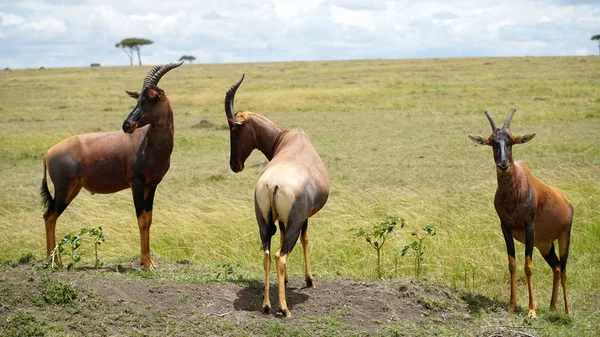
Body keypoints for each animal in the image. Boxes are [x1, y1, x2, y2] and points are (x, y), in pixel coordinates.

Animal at [39, 61, 183, 270]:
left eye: (150, 98)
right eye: (138, 99)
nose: (127, 125)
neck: (147, 142)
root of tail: (48, 153)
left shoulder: (151, 185)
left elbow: (148, 219)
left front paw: (150, 261)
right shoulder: (136, 183)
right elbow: (141, 219)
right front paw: (146, 263)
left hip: (73, 189)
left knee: (50, 216)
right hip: (64, 190)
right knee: (49, 216)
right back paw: (55, 263)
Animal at [225, 75, 330, 316]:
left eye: (234, 129)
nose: (235, 164)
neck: (290, 138)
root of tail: (272, 184)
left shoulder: (280, 220)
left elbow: (280, 238)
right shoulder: (302, 218)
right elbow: (305, 240)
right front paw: (309, 280)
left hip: (262, 221)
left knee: (266, 253)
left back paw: (266, 305)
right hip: (294, 222)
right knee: (280, 255)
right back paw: (284, 308)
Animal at [468, 107, 572, 318]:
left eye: (510, 141)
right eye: (492, 142)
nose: (503, 165)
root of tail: (567, 202)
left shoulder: (529, 228)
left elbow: (528, 266)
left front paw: (532, 311)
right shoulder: (505, 228)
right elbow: (512, 265)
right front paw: (511, 306)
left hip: (564, 238)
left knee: (564, 269)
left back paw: (566, 312)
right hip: (545, 245)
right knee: (556, 267)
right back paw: (552, 307)